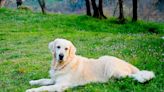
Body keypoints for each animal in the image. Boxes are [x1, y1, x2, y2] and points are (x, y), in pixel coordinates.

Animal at [26, 38, 155, 92]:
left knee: (130, 76)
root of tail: (128, 63)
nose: (61, 56)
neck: (63, 64)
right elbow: (43, 80)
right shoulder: (54, 79)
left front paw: (31, 90)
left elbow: (44, 88)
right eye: (58, 47)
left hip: (111, 67)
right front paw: (33, 82)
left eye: (66, 48)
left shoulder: (61, 85)